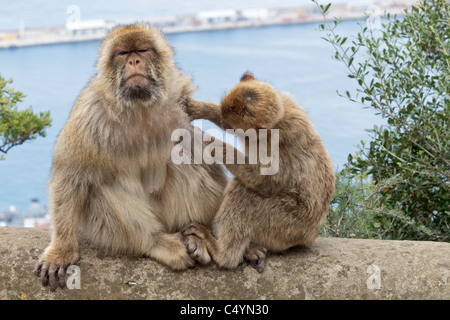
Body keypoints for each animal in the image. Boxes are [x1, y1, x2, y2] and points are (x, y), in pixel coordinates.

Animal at [34, 23, 229, 290]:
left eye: (143, 50)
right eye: (122, 53)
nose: (134, 60)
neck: (139, 108)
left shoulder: (180, 101)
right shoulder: (88, 116)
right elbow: (70, 176)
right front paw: (61, 251)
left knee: (185, 154)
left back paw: (194, 236)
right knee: (101, 185)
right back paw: (156, 242)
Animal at [183, 73, 334, 272]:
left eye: (231, 125)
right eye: (224, 120)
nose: (223, 123)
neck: (279, 120)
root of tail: (310, 234)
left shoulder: (275, 148)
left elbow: (263, 182)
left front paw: (211, 143)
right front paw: (200, 107)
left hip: (288, 223)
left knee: (245, 193)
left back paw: (223, 253)